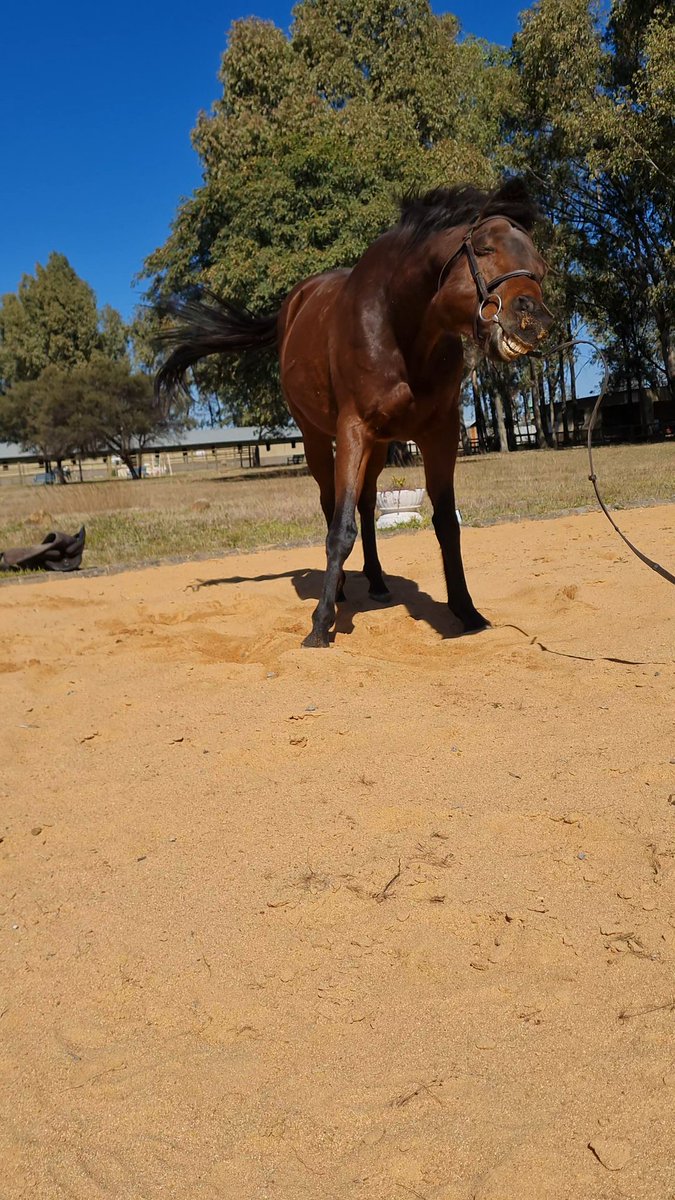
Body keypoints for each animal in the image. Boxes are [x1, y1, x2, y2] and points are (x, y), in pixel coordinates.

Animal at [156, 177, 553, 648]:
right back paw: (341, 589)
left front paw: (466, 611)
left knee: (365, 504)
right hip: (316, 438)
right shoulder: (352, 430)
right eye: (484, 247)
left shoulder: (438, 434)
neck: (399, 330)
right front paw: (320, 625)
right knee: (331, 504)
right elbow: (339, 528)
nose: (535, 319)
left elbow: (445, 523)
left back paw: (377, 582)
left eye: (541, 267)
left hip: (380, 446)